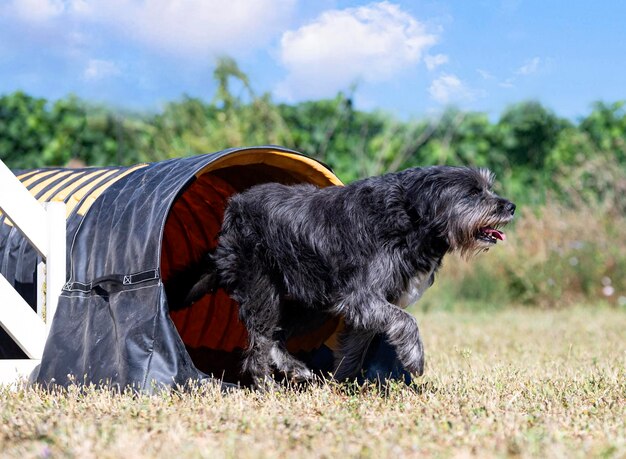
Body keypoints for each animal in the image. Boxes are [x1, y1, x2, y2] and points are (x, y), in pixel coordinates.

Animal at [166, 167, 512, 386]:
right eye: (473, 192)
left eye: (487, 187)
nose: (510, 205)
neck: (411, 217)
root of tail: (231, 213)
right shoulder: (363, 296)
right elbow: (406, 321)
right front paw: (414, 358)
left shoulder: (368, 305)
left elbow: (355, 347)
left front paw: (343, 385)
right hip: (264, 291)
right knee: (258, 346)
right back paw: (268, 388)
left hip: (310, 302)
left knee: (274, 336)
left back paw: (295, 369)